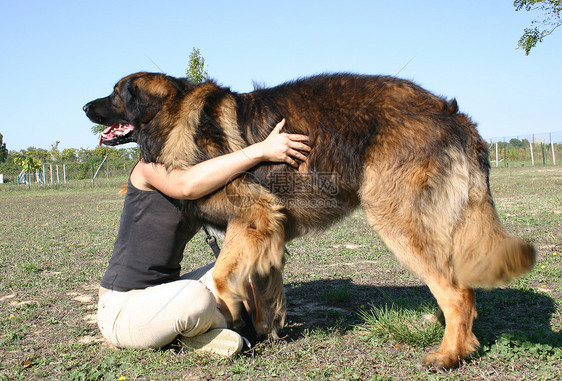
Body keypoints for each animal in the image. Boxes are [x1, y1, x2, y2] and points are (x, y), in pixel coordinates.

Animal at [84, 72, 532, 368]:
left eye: (116, 92)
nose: (85, 106)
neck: (177, 117)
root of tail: (451, 114)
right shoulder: (264, 229)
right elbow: (260, 287)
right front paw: (262, 331)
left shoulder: (254, 216)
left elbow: (224, 279)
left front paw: (234, 315)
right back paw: (456, 339)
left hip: (395, 219)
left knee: (457, 291)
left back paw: (448, 355)